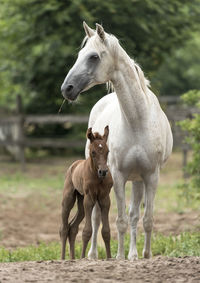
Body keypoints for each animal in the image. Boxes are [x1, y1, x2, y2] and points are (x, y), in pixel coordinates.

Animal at [59, 127, 112, 260]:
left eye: (107, 151)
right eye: (93, 152)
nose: (103, 171)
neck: (97, 177)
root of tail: (73, 165)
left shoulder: (105, 198)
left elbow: (106, 231)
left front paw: (109, 257)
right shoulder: (89, 198)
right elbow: (87, 231)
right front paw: (83, 257)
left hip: (81, 201)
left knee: (72, 227)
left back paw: (72, 258)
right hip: (69, 199)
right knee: (64, 227)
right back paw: (62, 258)